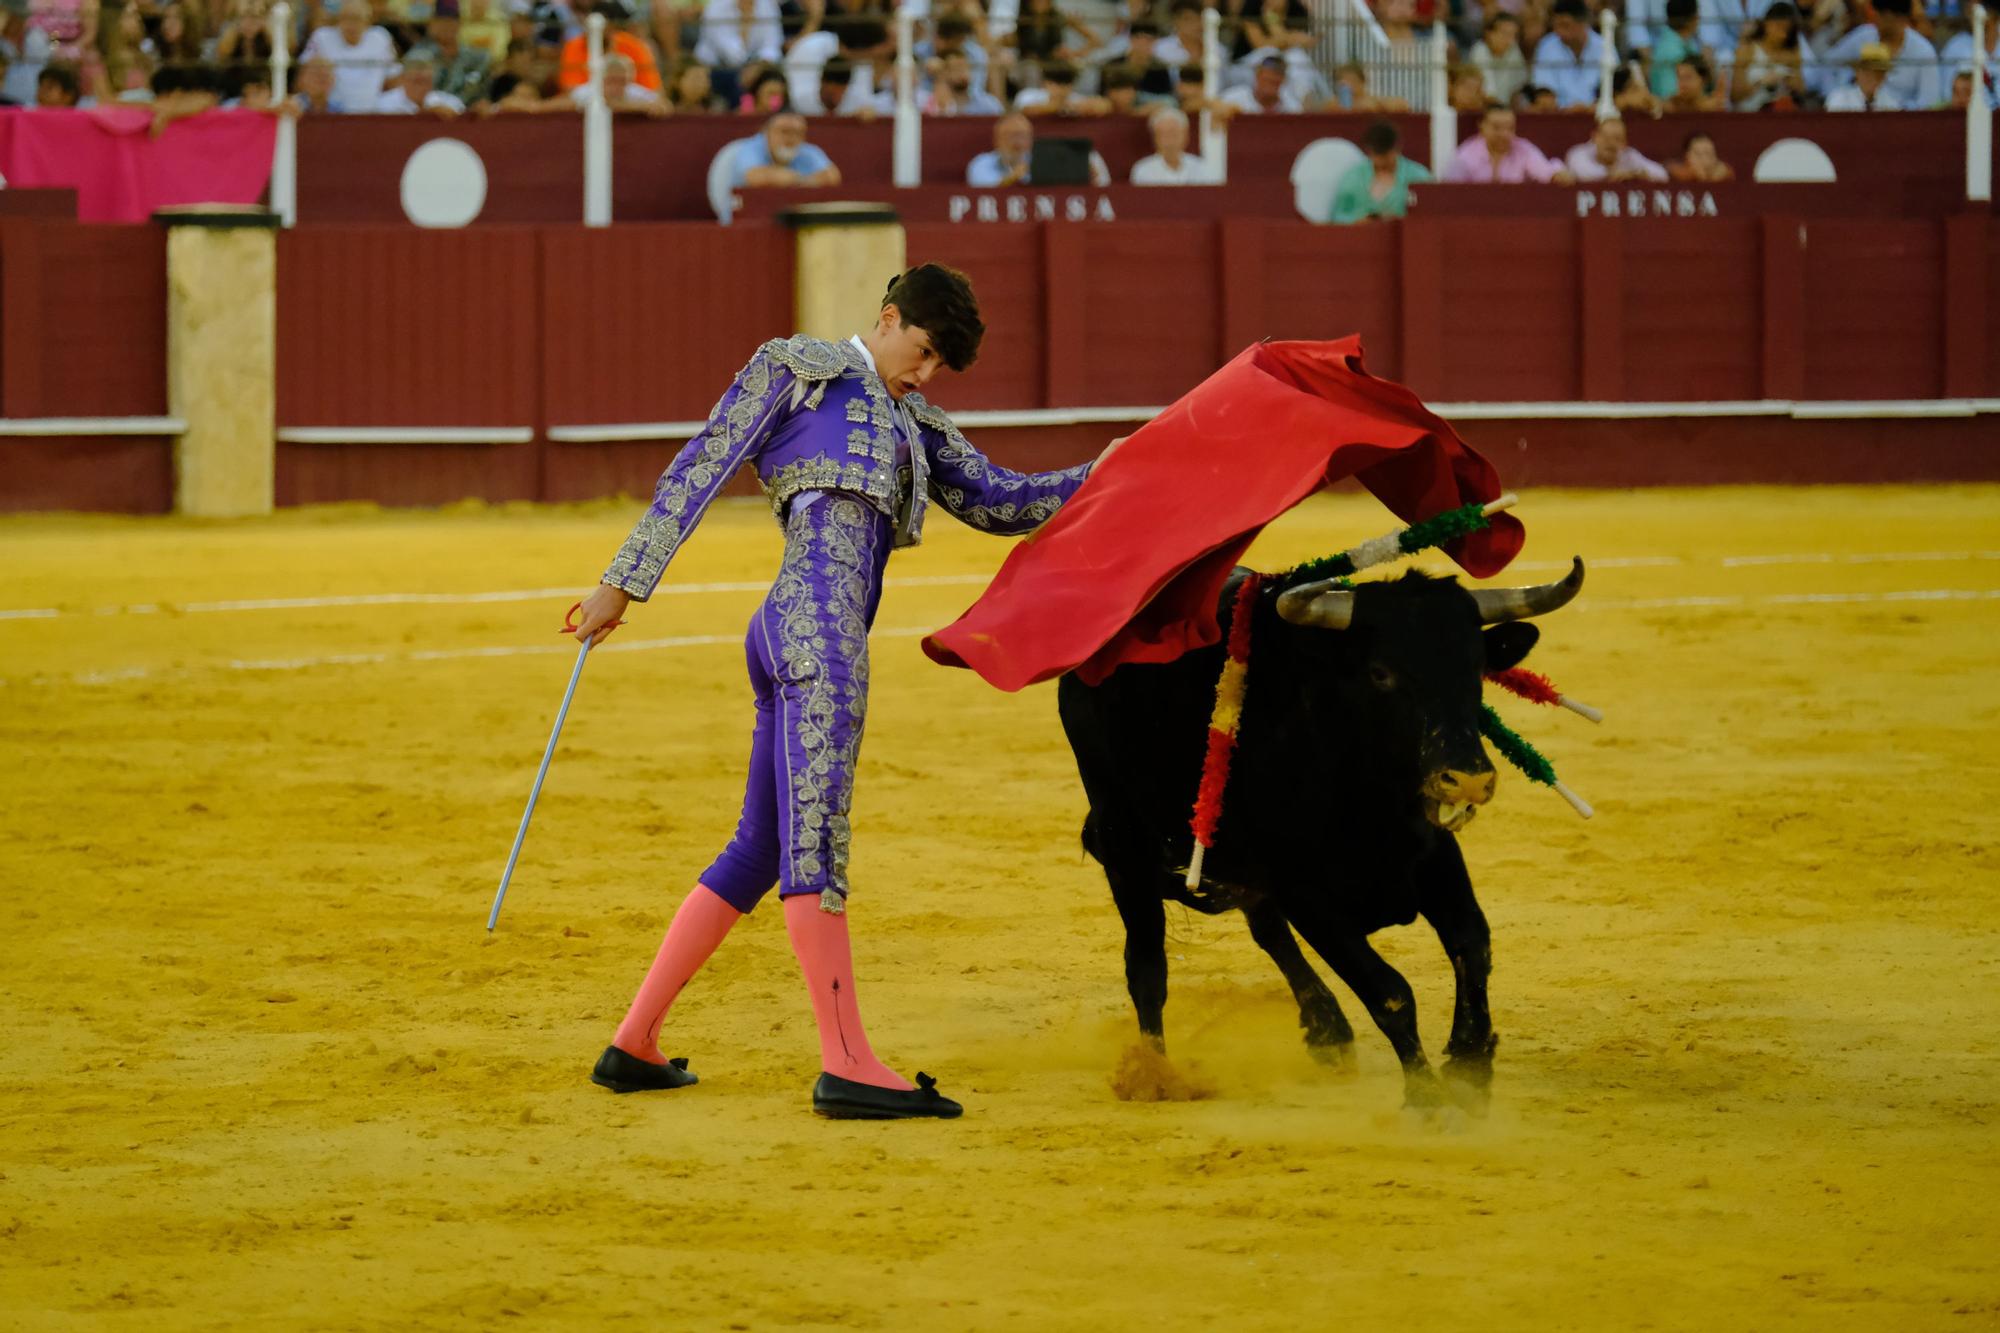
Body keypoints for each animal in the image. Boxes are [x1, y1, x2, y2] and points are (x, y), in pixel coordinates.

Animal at [1056, 556, 1584, 1104]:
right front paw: (1429, 1099)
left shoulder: (1433, 854)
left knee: (1265, 928)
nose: (1469, 778)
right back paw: (1155, 1076)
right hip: (1123, 840)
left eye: (1476, 667)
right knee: (1147, 965)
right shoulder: (1305, 893)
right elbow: (1389, 991)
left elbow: (1472, 944)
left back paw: (1328, 1030)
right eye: (1381, 673)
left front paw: (1470, 1063)